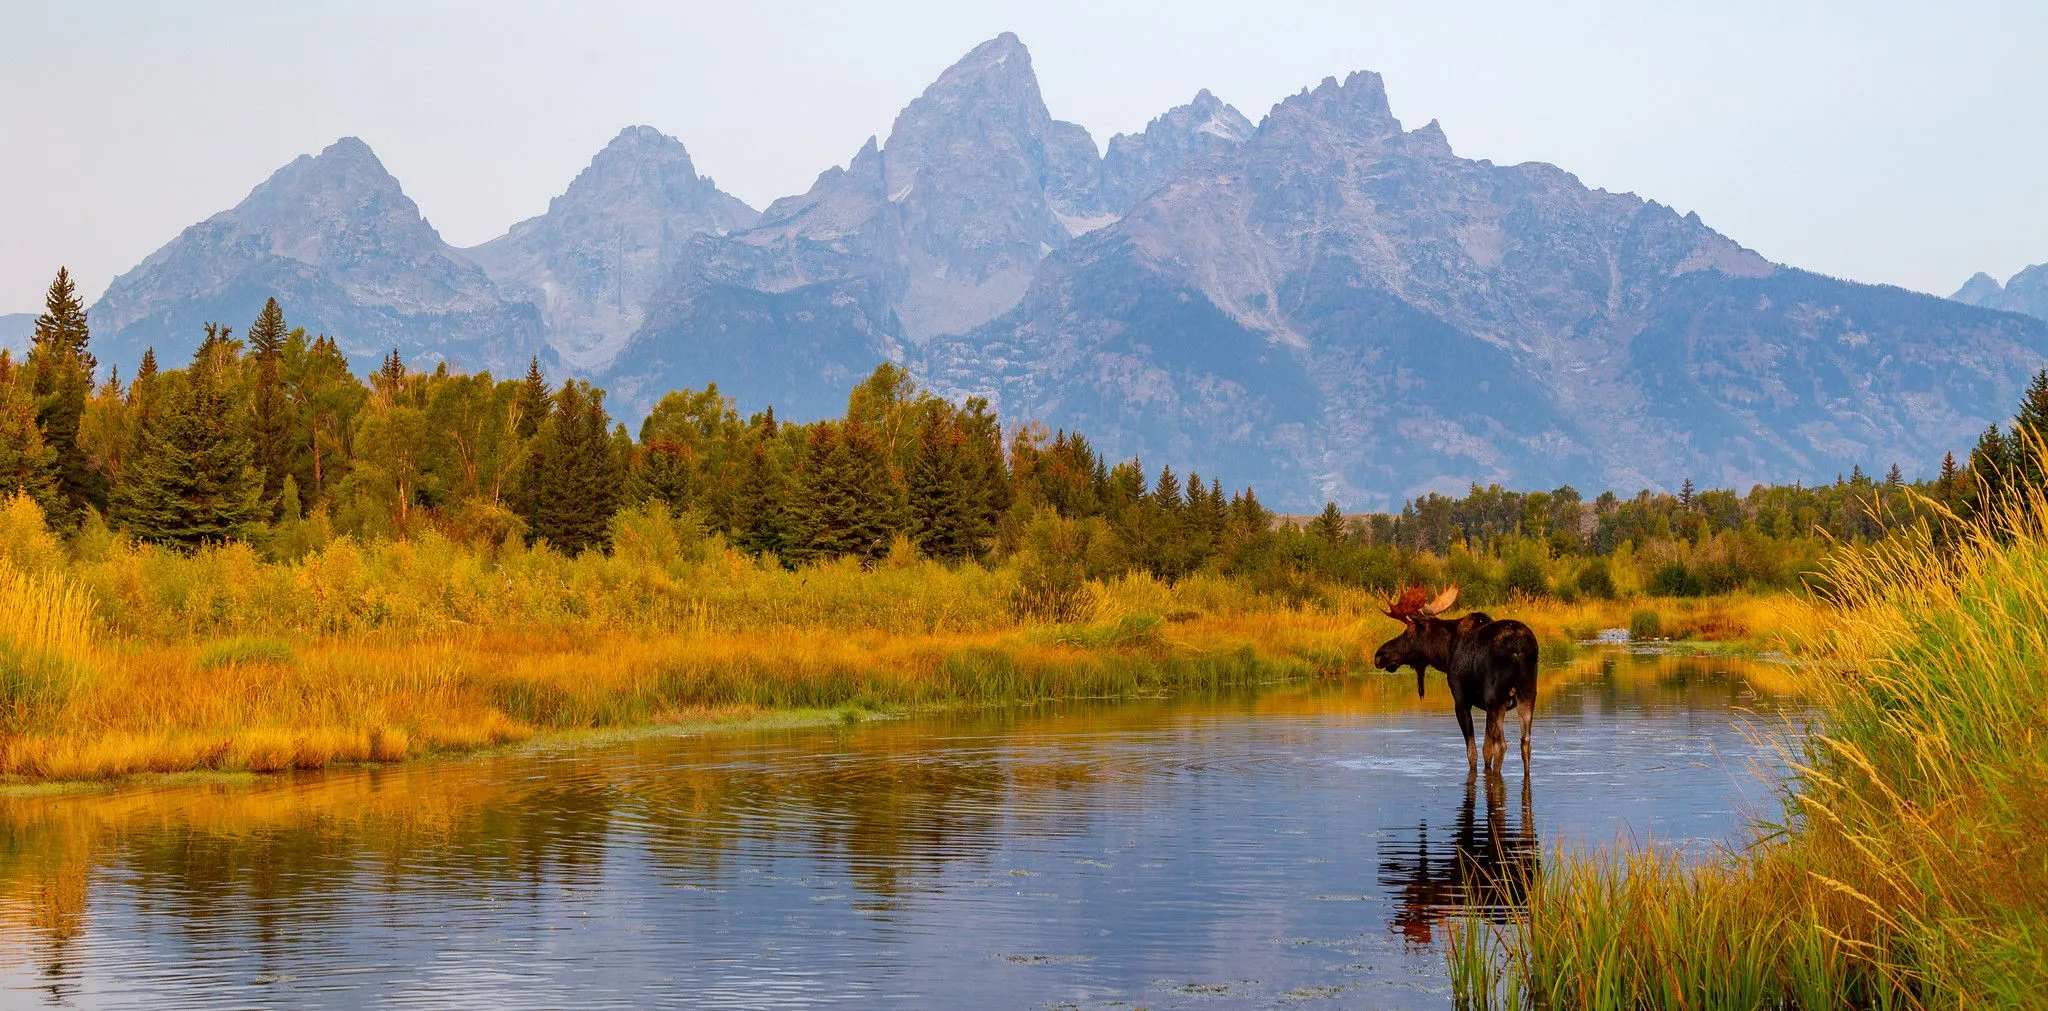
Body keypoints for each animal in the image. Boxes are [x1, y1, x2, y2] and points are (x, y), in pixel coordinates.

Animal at [1376, 589, 1540, 769]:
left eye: (1407, 633)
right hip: (1527, 694)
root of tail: (1519, 648)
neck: (1445, 654)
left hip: (1495, 697)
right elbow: (1486, 750)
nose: (1380, 654)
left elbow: (1472, 753)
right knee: (1525, 743)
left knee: (1501, 745)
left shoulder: (1461, 701)